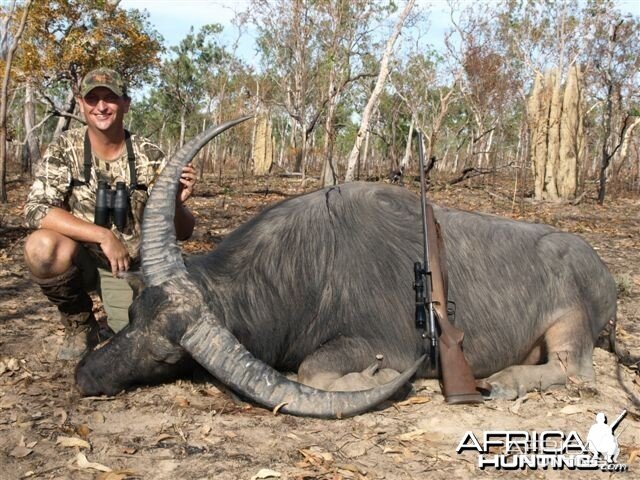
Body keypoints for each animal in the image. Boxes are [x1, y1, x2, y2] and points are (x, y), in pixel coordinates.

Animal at [74, 117, 616, 416]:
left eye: (168, 356)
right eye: (132, 315)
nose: (85, 376)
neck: (307, 268)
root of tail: (603, 274)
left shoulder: (382, 343)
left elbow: (313, 369)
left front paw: (375, 378)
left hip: (570, 328)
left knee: (577, 372)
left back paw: (506, 381)